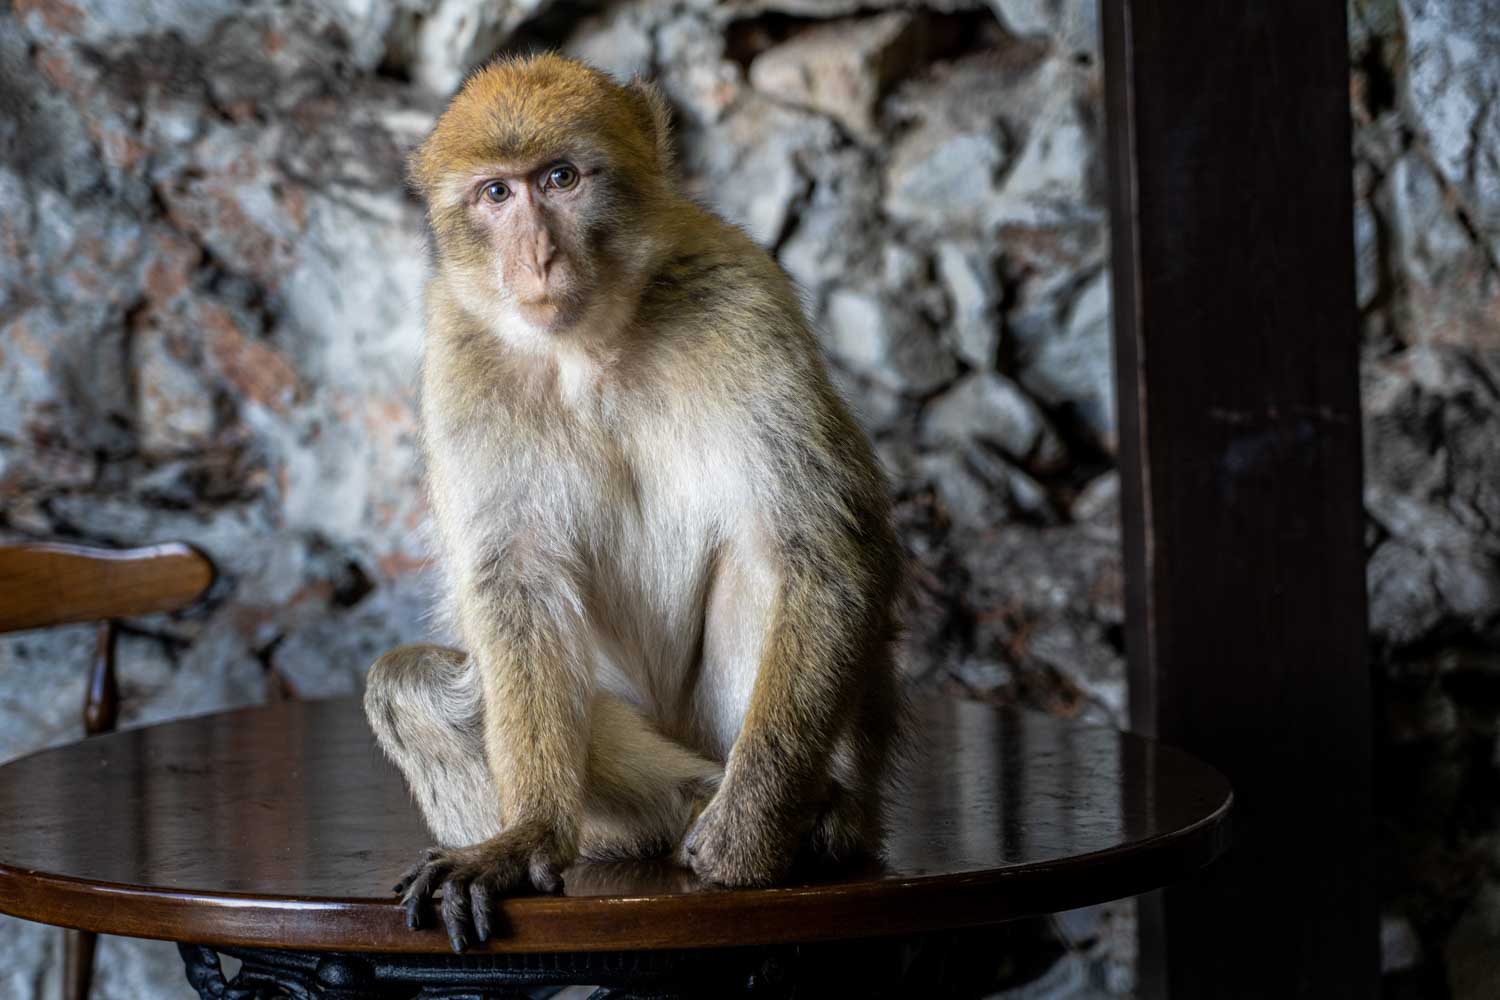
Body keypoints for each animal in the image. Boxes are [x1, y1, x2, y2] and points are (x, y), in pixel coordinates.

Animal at [363, 52, 904, 953]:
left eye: (561, 178)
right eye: (496, 194)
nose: (538, 259)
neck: (590, 348)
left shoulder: (739, 299)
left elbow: (823, 549)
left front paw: (748, 837)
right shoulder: (461, 355)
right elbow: (518, 583)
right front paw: (525, 840)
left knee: (772, 558)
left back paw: (798, 820)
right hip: (612, 820)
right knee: (409, 683)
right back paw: (678, 805)